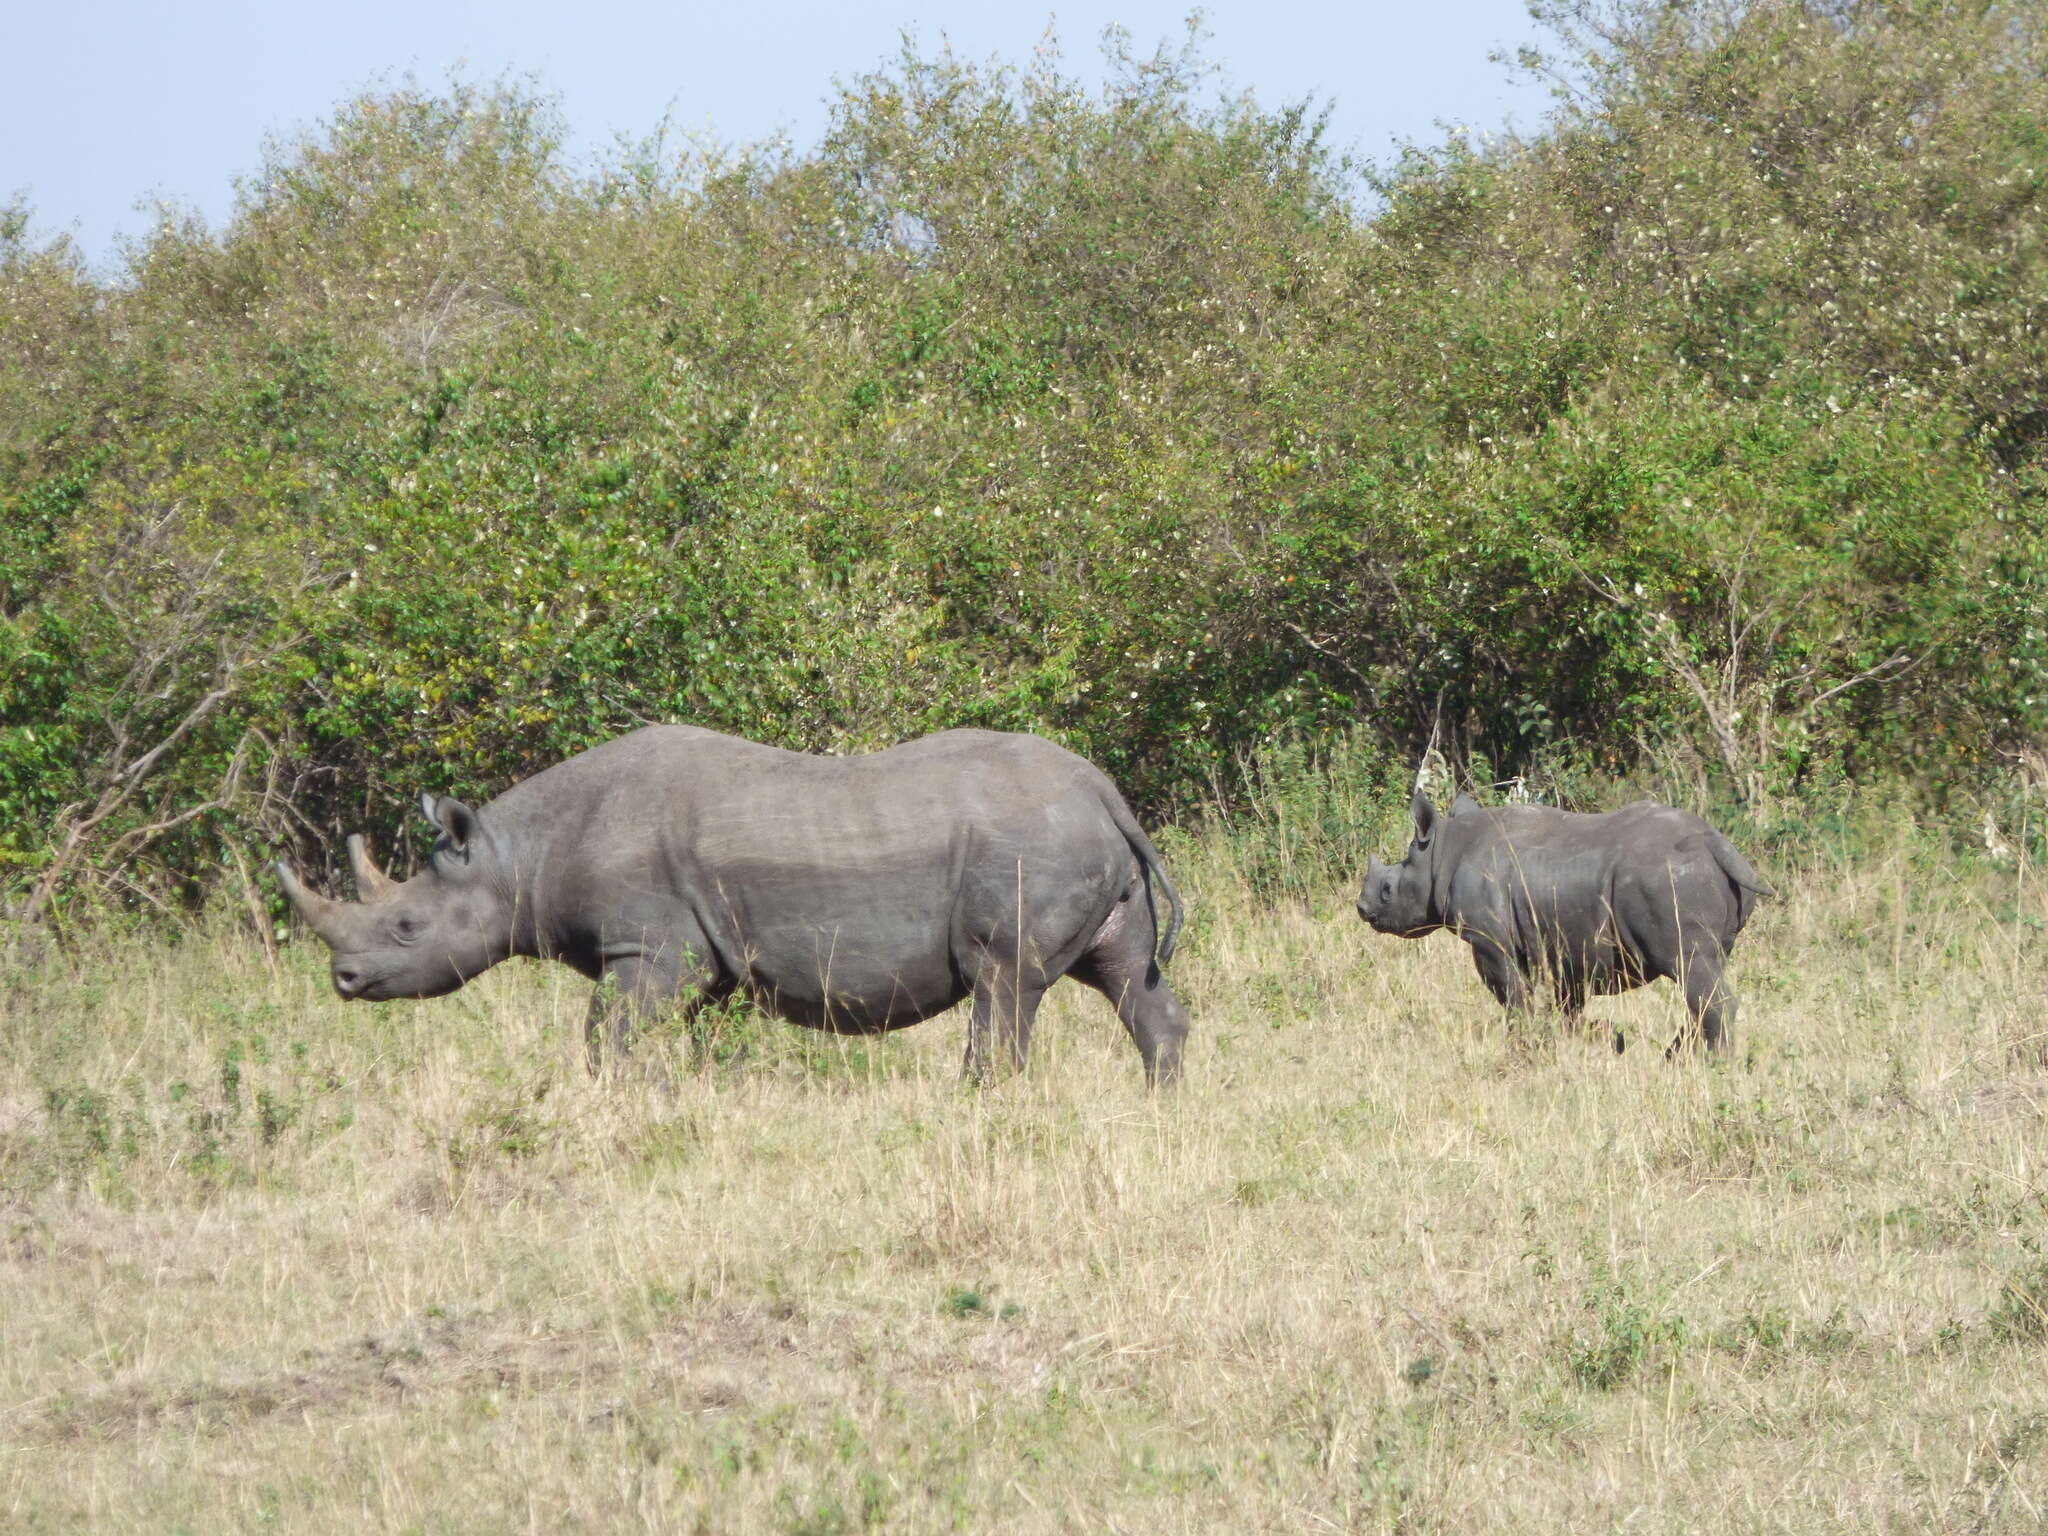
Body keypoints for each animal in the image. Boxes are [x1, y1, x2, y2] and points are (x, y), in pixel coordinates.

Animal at [280, 729, 1196, 1089]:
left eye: (406, 927)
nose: (344, 978)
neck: (520, 853)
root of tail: (1104, 791)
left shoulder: (648, 949)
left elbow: (606, 1036)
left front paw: (613, 1099)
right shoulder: (700, 956)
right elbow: (683, 1041)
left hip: (1029, 846)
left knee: (1003, 986)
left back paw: (974, 1107)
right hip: (1079, 846)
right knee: (1125, 975)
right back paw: (1163, 1105)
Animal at [1351, 794, 1769, 1056]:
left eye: (1388, 889)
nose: (1362, 909)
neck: (1441, 853)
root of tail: (1718, 845)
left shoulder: (1488, 939)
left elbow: (1513, 998)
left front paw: (1524, 1051)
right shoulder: (1565, 945)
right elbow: (1567, 1007)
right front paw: (1576, 1044)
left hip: (1669, 880)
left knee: (1690, 969)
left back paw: (1711, 1067)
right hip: (1693, 883)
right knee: (1703, 972)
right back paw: (1673, 1061)